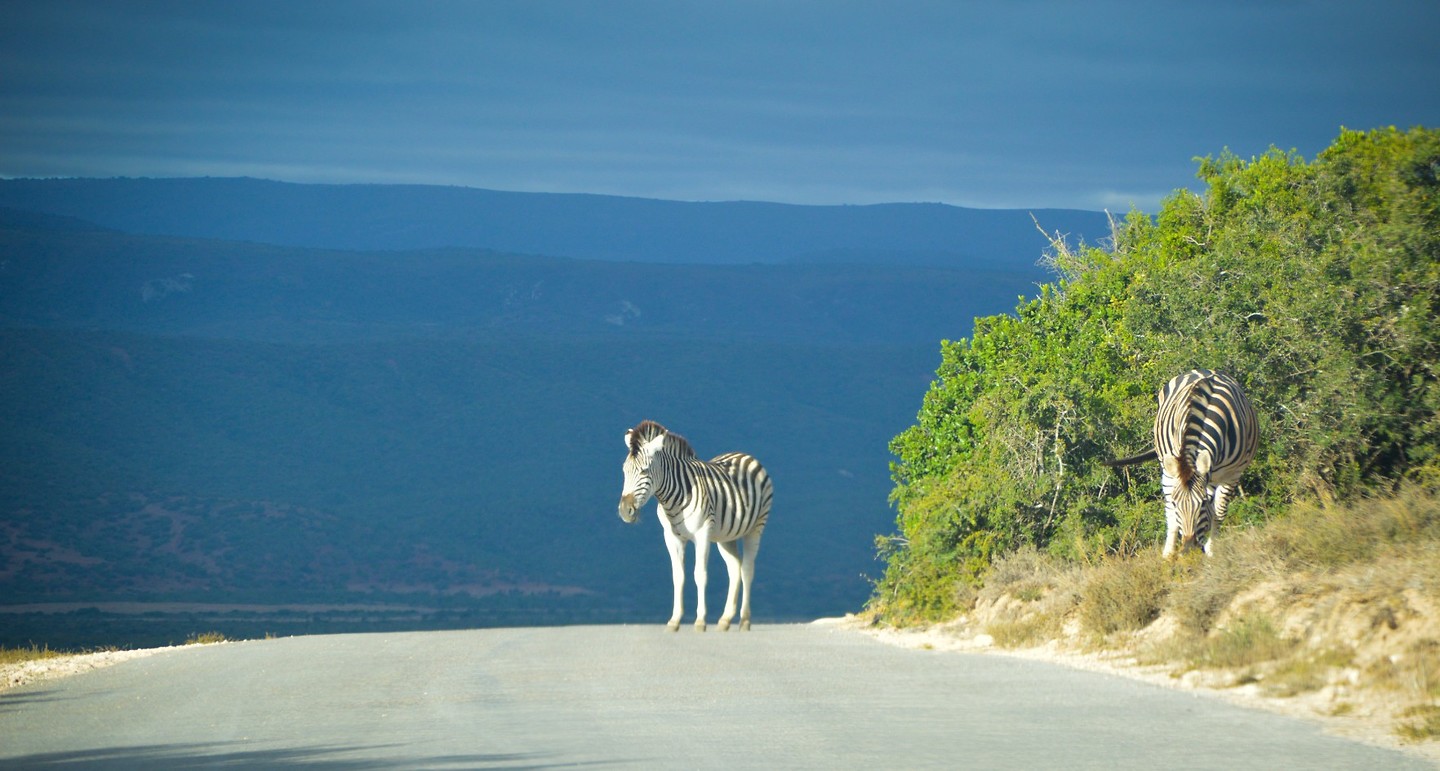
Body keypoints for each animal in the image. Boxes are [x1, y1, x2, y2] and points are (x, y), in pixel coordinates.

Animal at [618, 420, 773, 632]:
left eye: (644, 471)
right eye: (624, 471)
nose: (625, 511)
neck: (673, 498)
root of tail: (745, 454)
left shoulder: (702, 534)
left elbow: (700, 574)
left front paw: (700, 622)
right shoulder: (671, 537)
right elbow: (678, 576)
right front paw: (674, 621)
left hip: (756, 528)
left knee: (747, 569)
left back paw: (744, 621)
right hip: (726, 536)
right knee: (734, 568)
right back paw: (725, 620)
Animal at [1105, 369, 1259, 558]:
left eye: (1202, 503)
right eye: (1177, 504)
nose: (1187, 549)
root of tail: (1200, 369)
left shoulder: (1232, 474)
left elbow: (1219, 511)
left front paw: (1212, 551)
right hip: (1167, 467)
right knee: (1170, 515)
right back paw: (1168, 554)